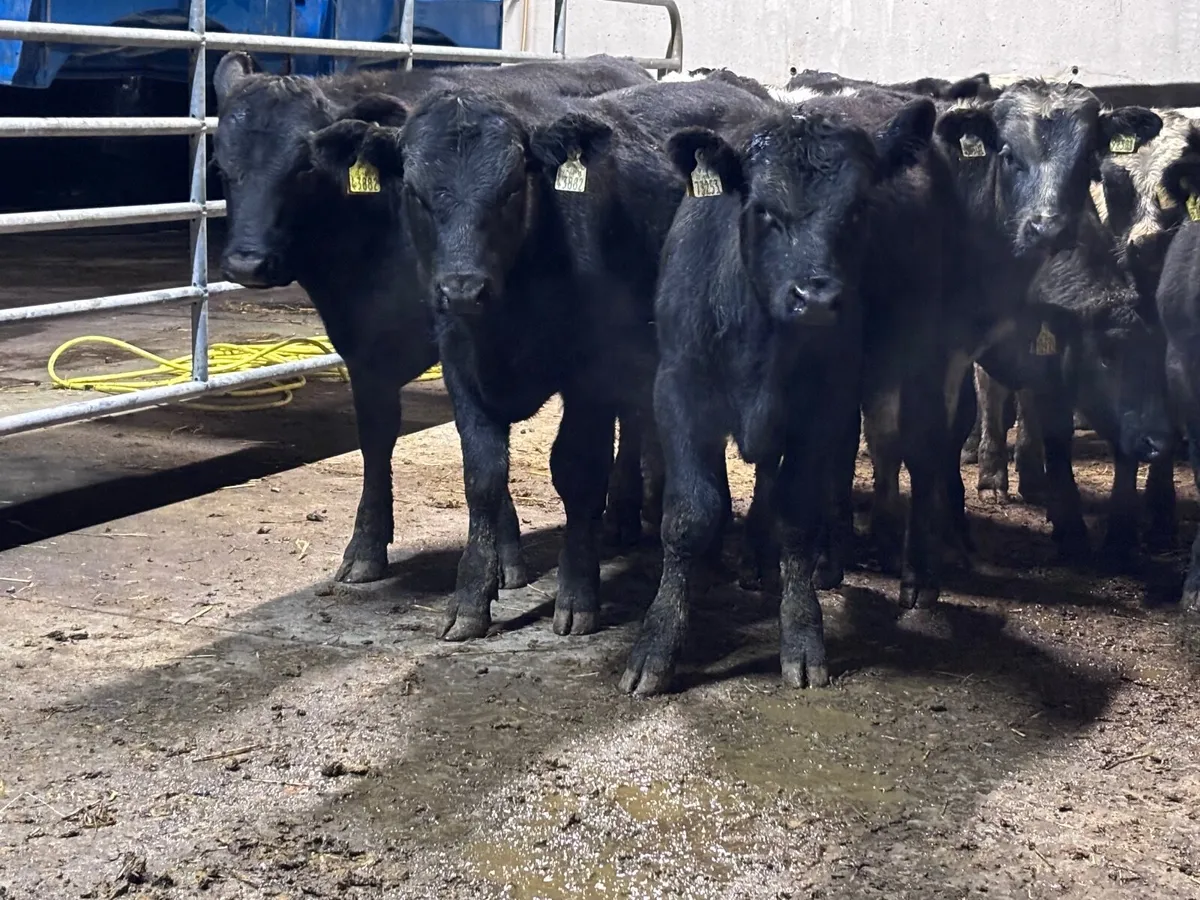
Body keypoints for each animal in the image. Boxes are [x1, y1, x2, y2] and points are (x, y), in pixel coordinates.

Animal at [211, 51, 652, 587]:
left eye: (304, 166)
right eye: (222, 166)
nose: (246, 264)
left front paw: (505, 559)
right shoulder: (363, 352)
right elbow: (377, 439)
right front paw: (365, 546)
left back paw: (623, 515)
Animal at [618, 93, 937, 695]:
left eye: (857, 209)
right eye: (764, 210)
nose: (816, 298)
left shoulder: (824, 404)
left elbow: (797, 513)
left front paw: (803, 635)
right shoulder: (678, 390)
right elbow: (690, 514)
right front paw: (657, 644)